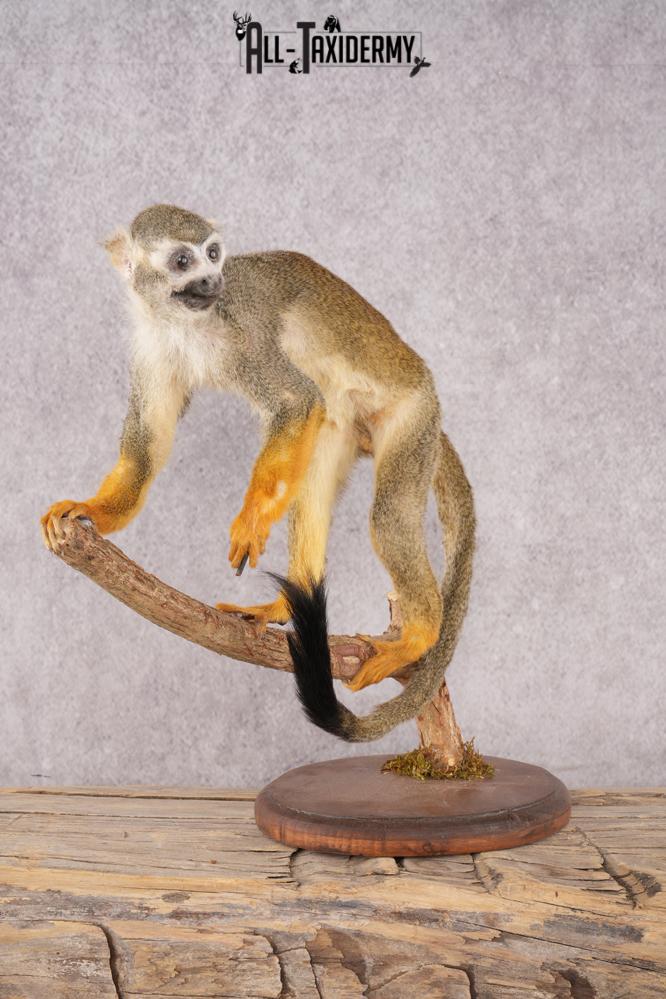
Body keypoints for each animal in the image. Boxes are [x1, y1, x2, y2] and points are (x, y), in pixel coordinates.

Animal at [41, 204, 475, 741]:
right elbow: (148, 445)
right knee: (312, 480)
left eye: (213, 254)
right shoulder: (151, 344)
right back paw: (291, 603)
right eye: (183, 261)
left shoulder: (241, 331)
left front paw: (250, 519)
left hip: (411, 416)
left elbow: (295, 401)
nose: (213, 280)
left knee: (389, 517)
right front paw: (94, 511)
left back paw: (419, 635)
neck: (182, 322)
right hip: (346, 425)